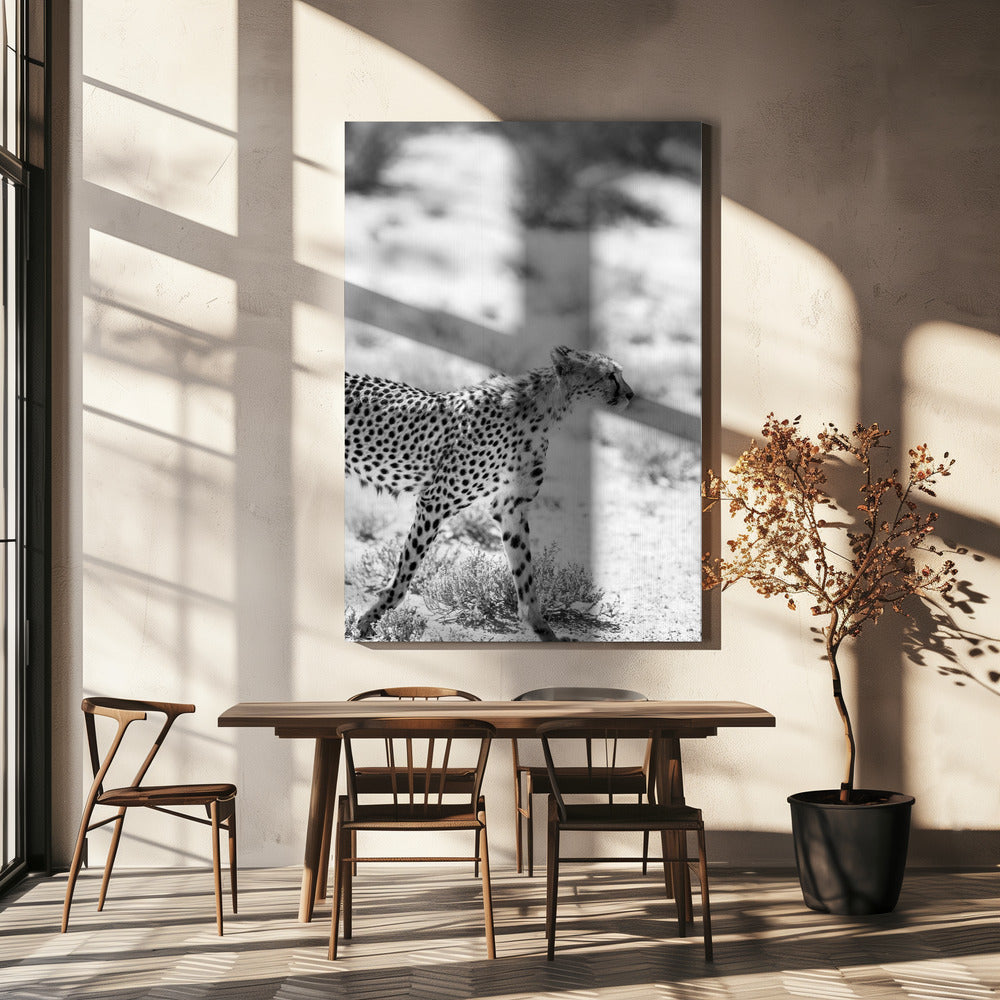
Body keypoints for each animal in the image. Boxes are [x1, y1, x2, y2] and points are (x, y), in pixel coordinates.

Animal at [346, 345, 634, 641]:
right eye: (610, 375)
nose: (631, 394)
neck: (545, 410)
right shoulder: (435, 501)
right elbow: (407, 569)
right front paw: (371, 619)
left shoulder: (511, 507)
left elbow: (524, 570)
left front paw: (541, 628)